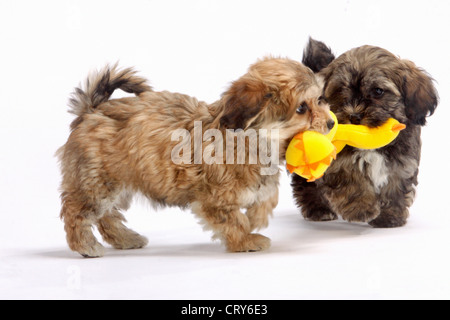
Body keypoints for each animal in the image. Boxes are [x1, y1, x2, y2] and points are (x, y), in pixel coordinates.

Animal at [57, 57, 334, 258]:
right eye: (301, 108)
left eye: (320, 99)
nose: (332, 123)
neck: (250, 138)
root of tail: (92, 111)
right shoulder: (213, 198)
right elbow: (233, 219)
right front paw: (246, 239)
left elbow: (267, 196)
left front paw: (256, 218)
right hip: (97, 182)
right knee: (78, 213)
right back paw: (85, 246)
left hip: (119, 181)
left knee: (108, 216)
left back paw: (126, 239)